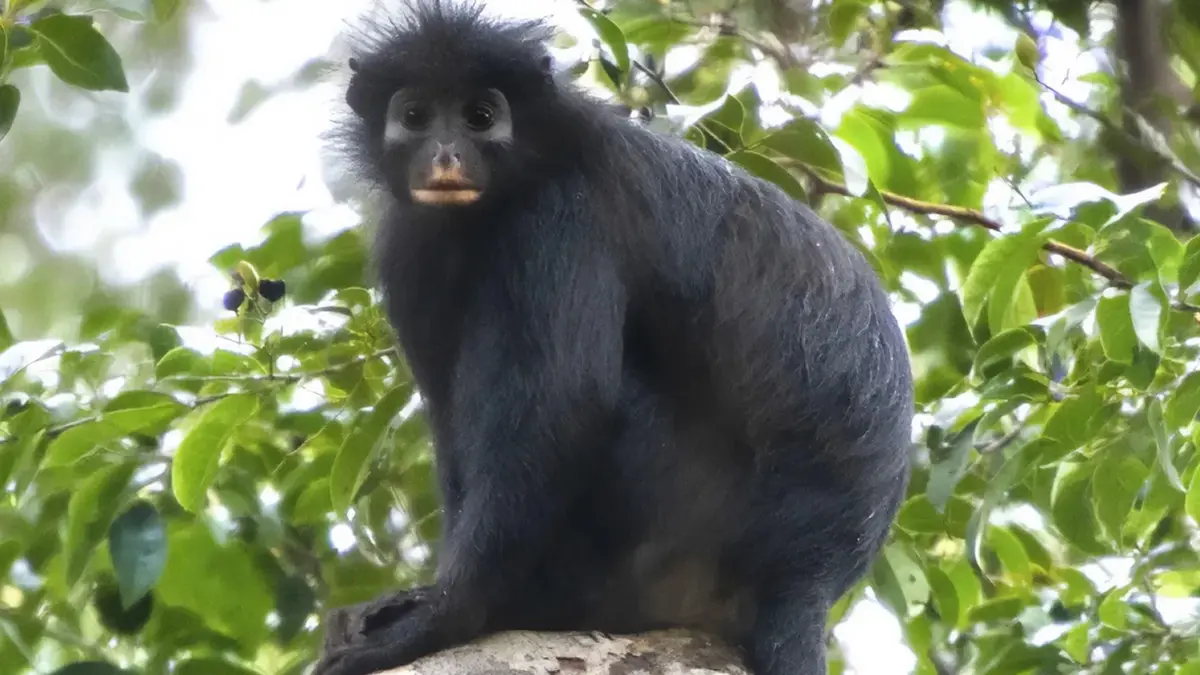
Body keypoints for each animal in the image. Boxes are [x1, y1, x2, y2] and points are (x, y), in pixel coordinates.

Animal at [314, 2, 914, 674]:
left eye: (480, 118)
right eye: (416, 117)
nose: (446, 155)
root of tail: (809, 576)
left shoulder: (560, 215)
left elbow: (561, 404)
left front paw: (450, 613)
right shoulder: (409, 244)